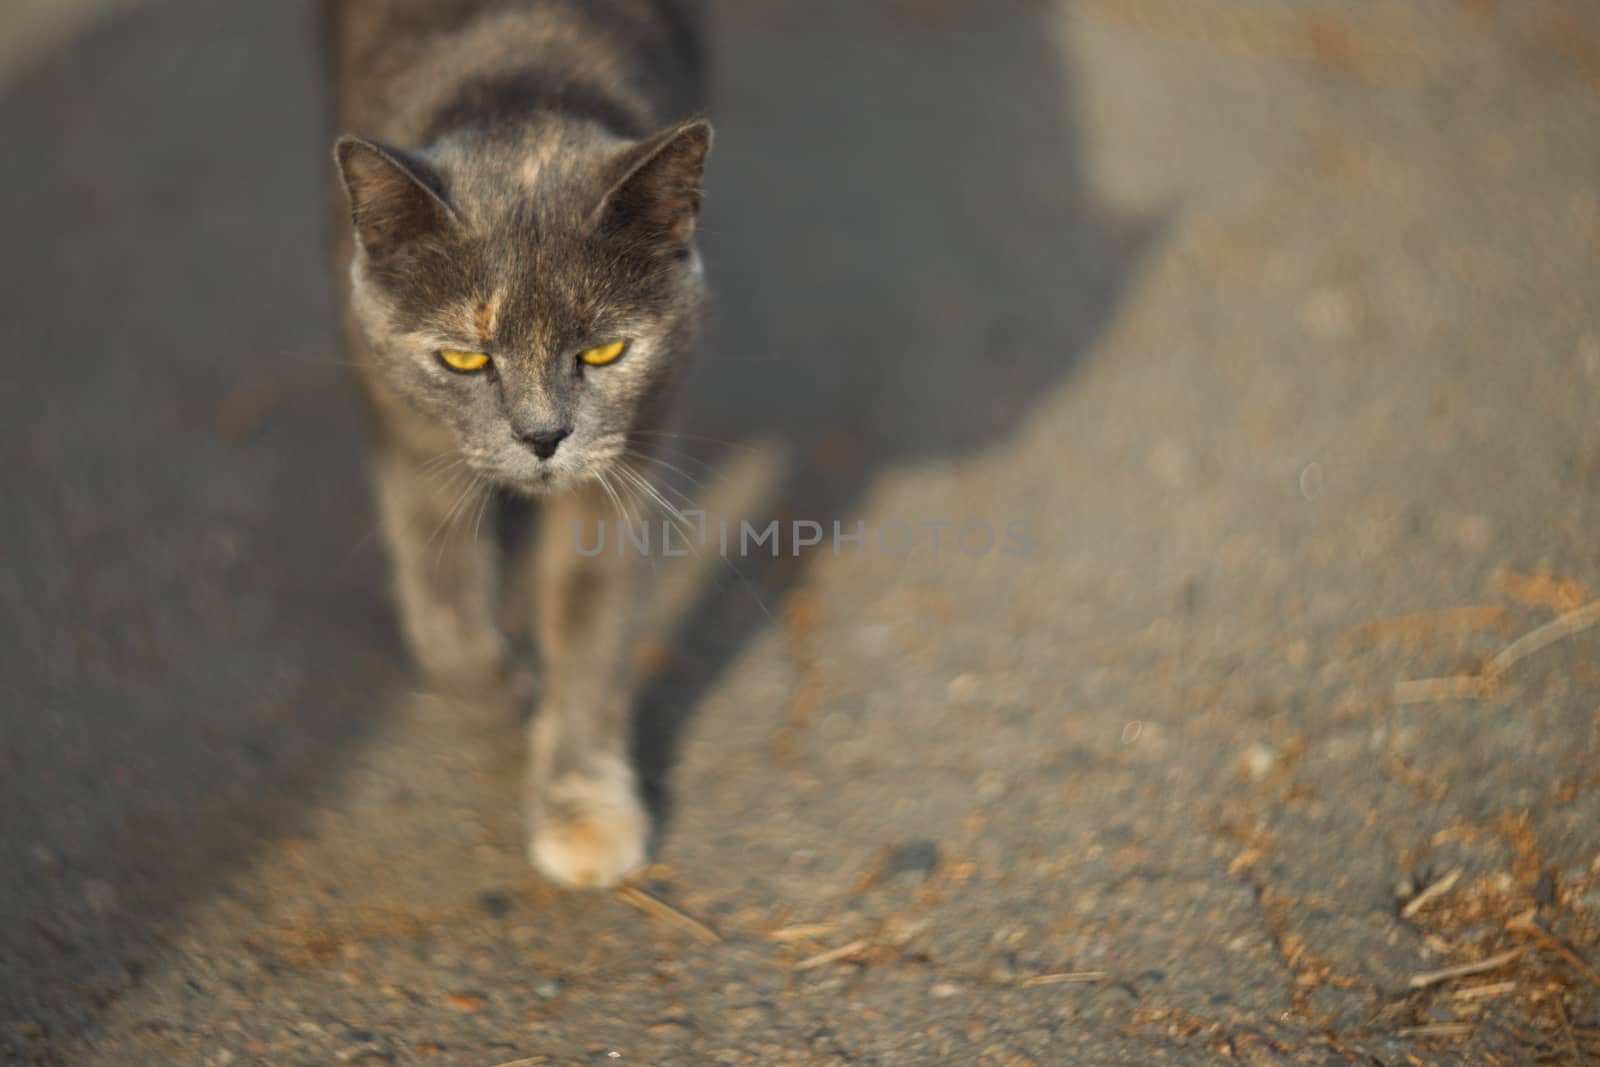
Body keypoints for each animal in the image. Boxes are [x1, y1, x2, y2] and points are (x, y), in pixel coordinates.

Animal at [328, 0, 710, 883]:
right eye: (465, 358)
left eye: (604, 351)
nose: (542, 436)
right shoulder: (399, 415)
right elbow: (434, 575)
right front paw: (497, 687)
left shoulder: (630, 451)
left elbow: (591, 619)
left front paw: (583, 811)